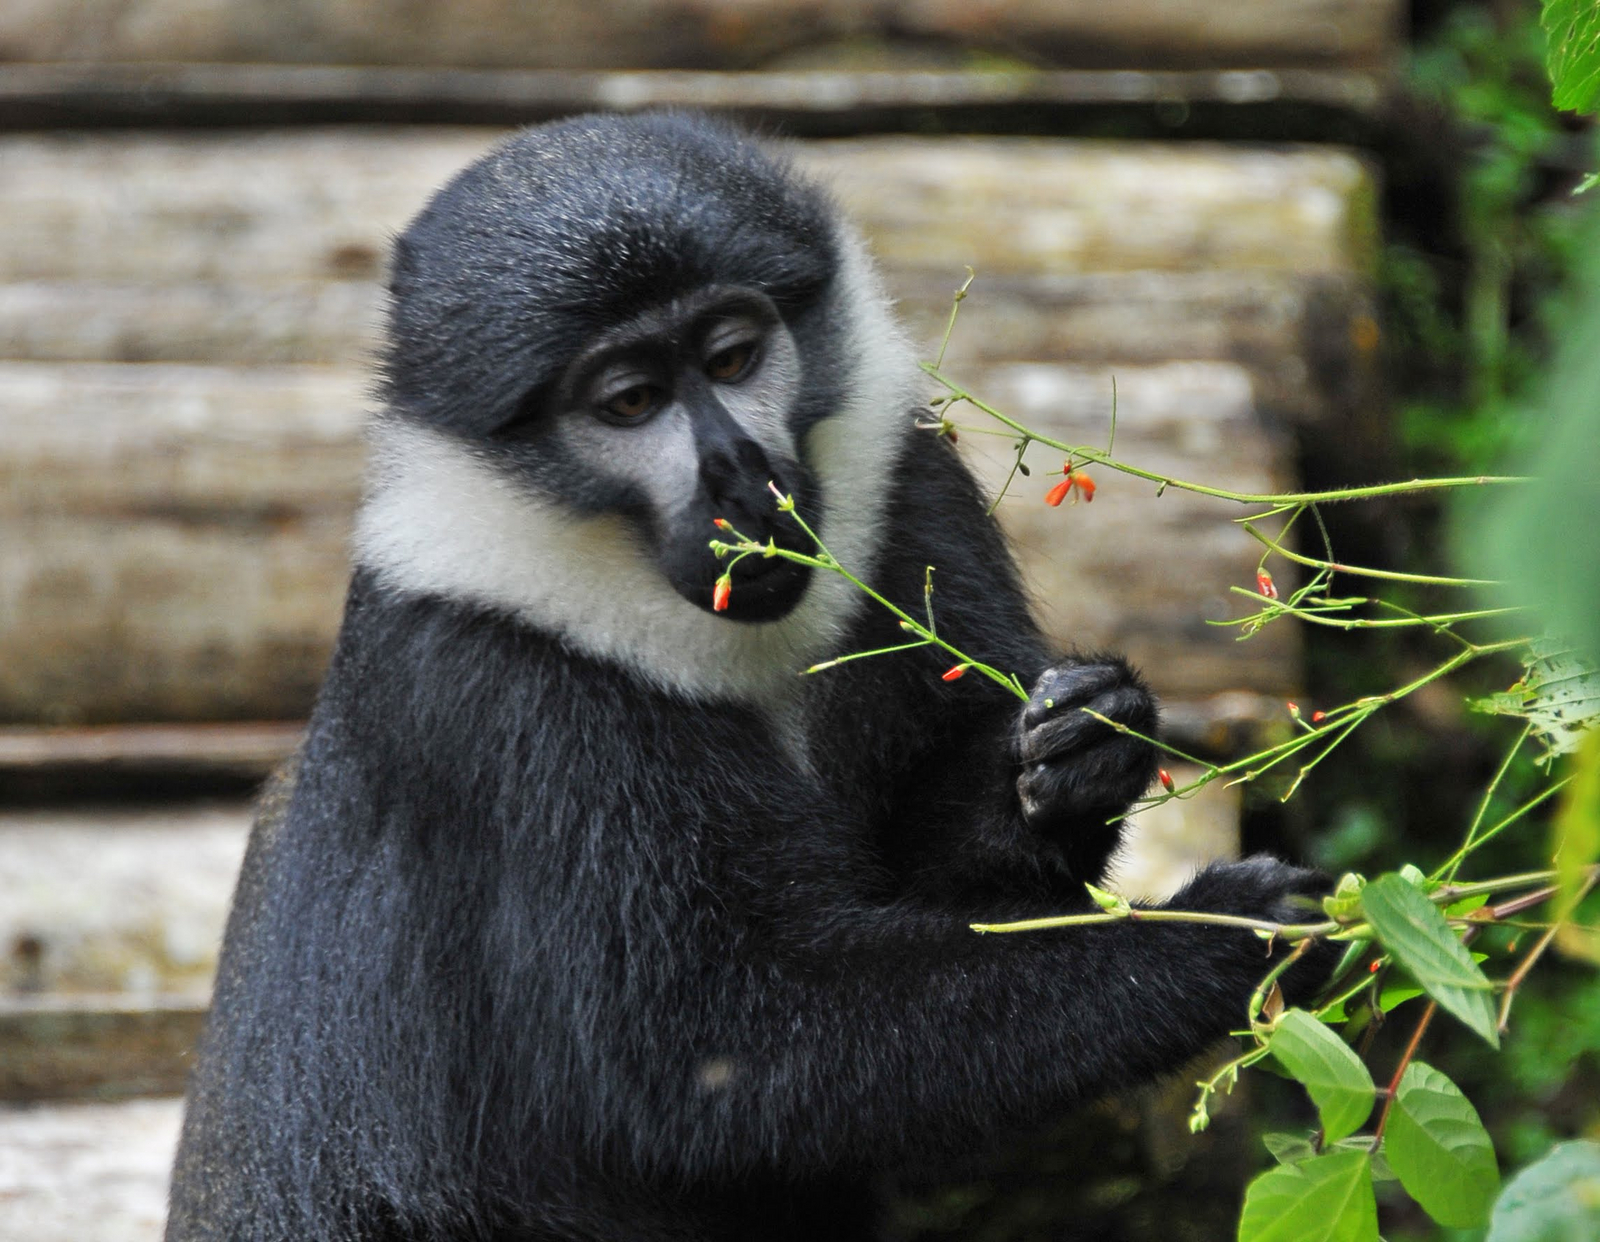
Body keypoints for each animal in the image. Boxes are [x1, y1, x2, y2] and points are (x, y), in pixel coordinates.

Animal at [166, 111, 1330, 1242]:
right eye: (629, 401)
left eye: (730, 355)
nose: (736, 471)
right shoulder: (494, 693)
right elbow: (714, 1057)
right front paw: (1219, 943)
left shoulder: (916, 494)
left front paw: (1080, 749)